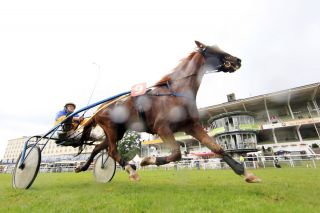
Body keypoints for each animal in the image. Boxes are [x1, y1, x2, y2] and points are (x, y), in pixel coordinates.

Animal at [76, 40, 262, 183]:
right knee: (112, 151)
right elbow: (177, 153)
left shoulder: (192, 126)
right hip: (112, 129)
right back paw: (132, 171)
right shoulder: (162, 128)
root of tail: (99, 109)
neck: (177, 93)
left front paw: (247, 174)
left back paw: (82, 167)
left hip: (116, 132)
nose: (237, 60)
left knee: (98, 148)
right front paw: (147, 160)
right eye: (213, 49)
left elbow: (218, 148)